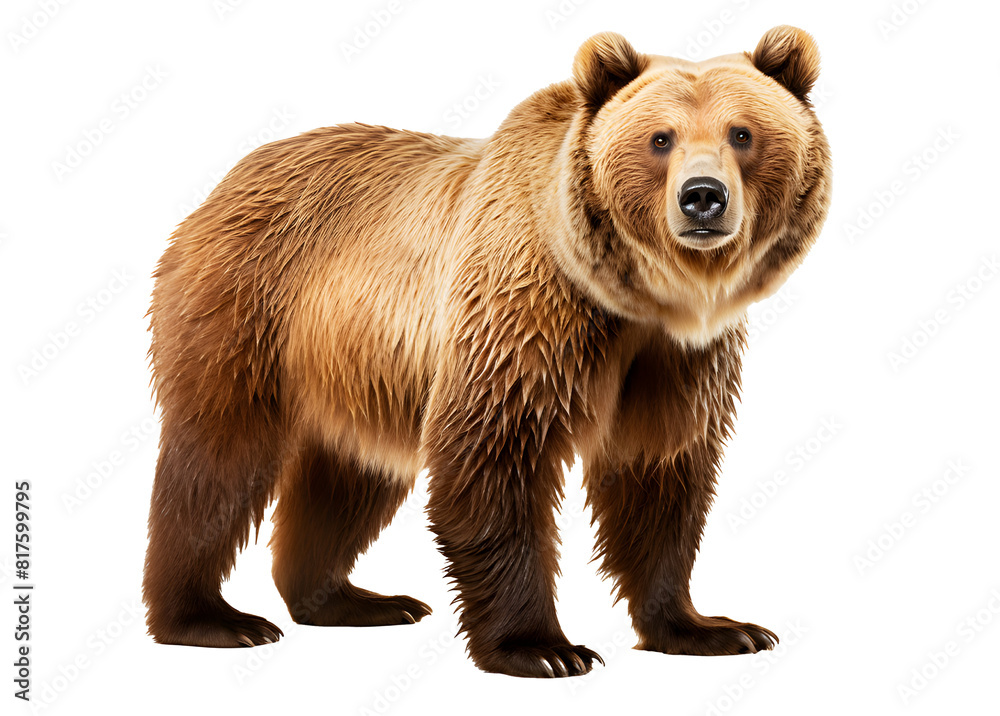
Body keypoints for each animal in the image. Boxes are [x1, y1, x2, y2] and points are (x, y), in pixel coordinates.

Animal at [143, 25, 831, 678]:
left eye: (742, 133)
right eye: (660, 139)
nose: (702, 197)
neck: (636, 297)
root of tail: (231, 178)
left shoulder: (677, 361)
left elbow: (659, 474)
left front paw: (711, 628)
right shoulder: (525, 312)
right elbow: (496, 455)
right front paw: (543, 648)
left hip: (360, 363)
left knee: (351, 474)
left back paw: (353, 600)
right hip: (246, 305)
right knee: (219, 456)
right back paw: (210, 617)